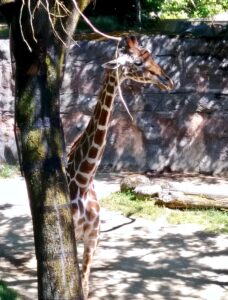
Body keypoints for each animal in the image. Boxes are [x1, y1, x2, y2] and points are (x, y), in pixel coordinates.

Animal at [67, 35, 174, 298]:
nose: (167, 80)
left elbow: (84, 286)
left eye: (149, 53)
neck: (83, 180)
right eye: (137, 62)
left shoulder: (93, 238)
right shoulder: (73, 234)